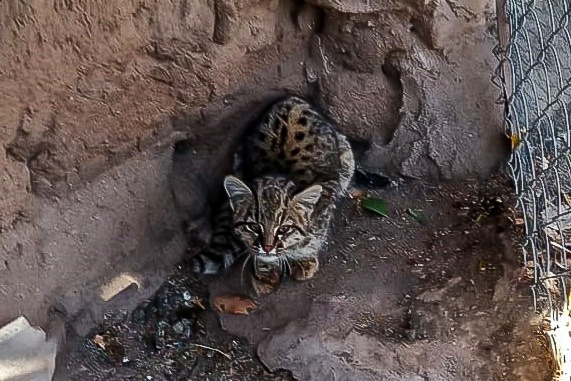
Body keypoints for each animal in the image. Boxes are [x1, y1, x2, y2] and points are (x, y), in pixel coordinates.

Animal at [191, 95, 354, 290]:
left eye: (284, 229)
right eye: (254, 227)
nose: (268, 248)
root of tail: (293, 98)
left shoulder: (327, 193)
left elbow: (314, 236)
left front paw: (304, 258)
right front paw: (266, 268)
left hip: (347, 156)